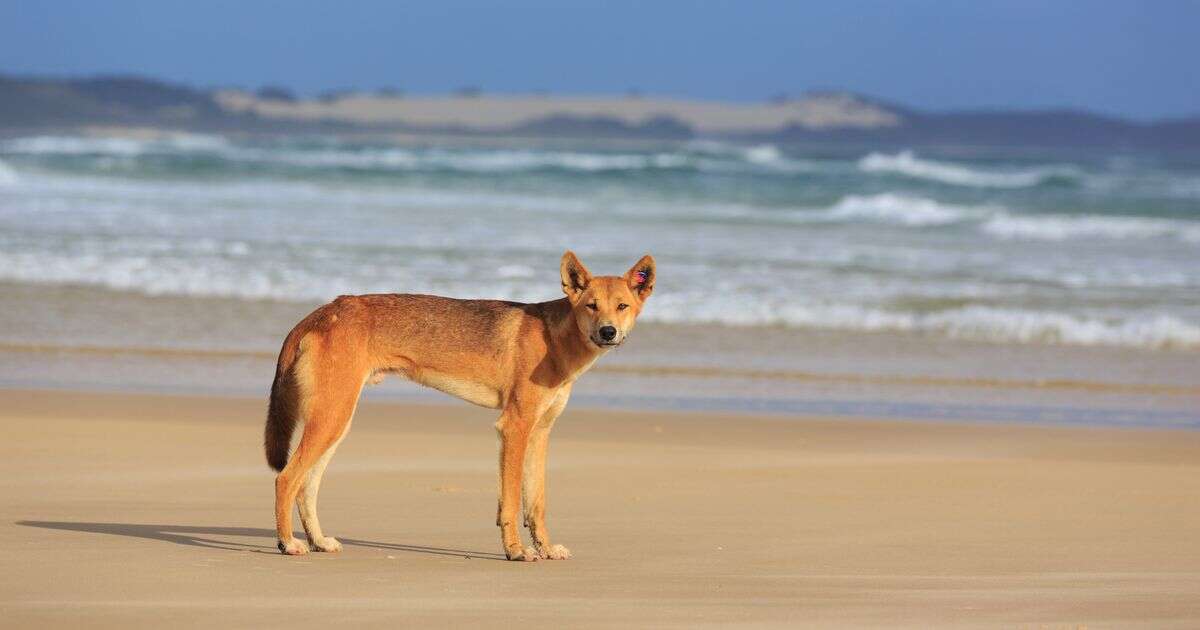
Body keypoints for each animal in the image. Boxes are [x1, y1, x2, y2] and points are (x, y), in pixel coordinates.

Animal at [265, 250, 657, 559]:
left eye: (622, 306)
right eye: (591, 306)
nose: (608, 332)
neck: (554, 340)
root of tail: (322, 311)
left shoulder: (540, 432)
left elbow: (536, 504)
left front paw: (545, 548)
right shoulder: (514, 427)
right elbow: (511, 502)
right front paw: (516, 551)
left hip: (336, 422)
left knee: (306, 486)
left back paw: (318, 541)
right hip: (331, 419)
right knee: (286, 479)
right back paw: (288, 543)